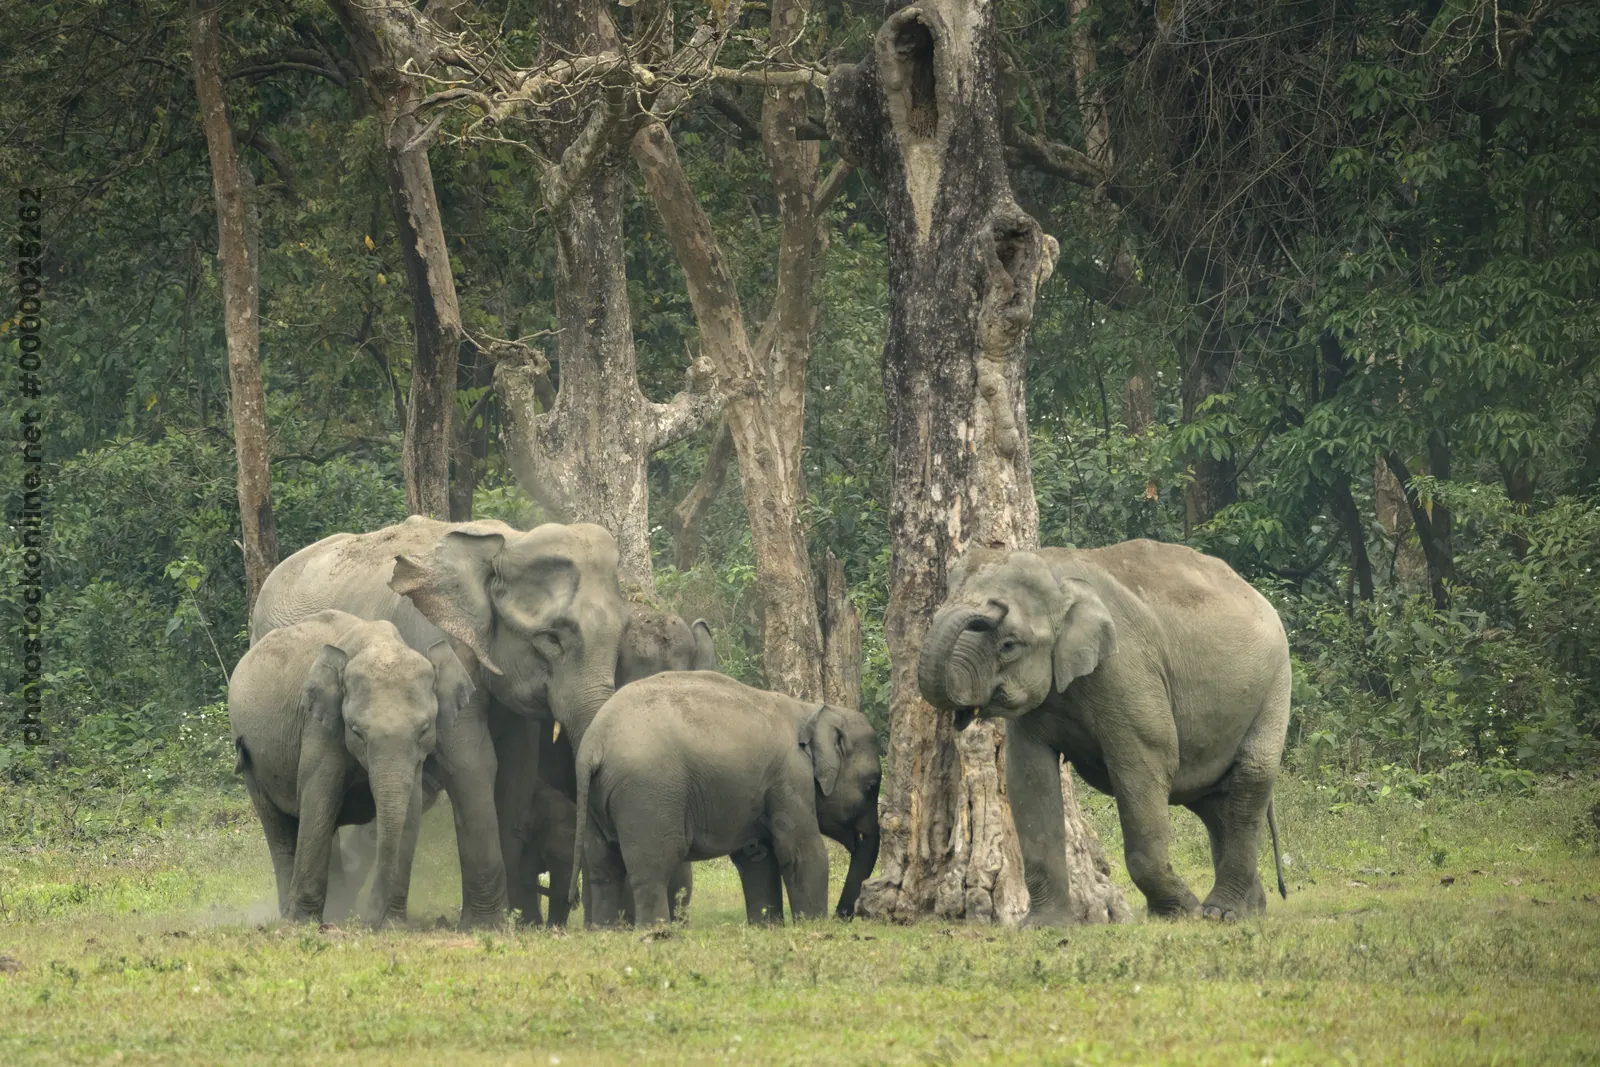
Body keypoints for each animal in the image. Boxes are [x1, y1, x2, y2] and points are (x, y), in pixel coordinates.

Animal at [229, 609, 473, 924]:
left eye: (423, 730)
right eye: (357, 731)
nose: (370, 920)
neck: (378, 642)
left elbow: (410, 811)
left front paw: (394, 924)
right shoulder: (319, 725)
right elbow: (318, 798)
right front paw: (302, 923)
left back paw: (338, 912)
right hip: (250, 757)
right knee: (281, 828)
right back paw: (293, 915)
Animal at [571, 671, 881, 926]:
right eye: (871, 786)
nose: (843, 917)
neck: (811, 709)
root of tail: (592, 745)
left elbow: (756, 856)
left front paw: (767, 928)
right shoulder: (790, 777)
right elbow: (801, 852)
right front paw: (813, 927)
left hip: (596, 799)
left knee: (602, 867)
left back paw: (606, 932)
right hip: (647, 794)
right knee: (653, 866)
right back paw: (657, 933)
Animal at [918, 539, 1290, 925]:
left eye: (1009, 644)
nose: (989, 608)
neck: (1056, 572)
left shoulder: (1126, 669)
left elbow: (1149, 763)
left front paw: (1180, 911)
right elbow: (1029, 777)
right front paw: (1042, 925)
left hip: (1275, 685)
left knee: (1250, 778)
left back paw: (1221, 912)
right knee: (1213, 802)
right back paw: (1249, 911)